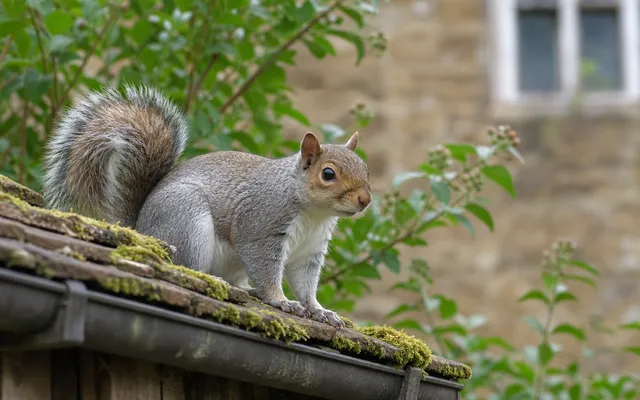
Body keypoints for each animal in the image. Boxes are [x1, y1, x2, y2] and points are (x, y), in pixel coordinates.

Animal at [42, 85, 372, 328]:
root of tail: (141, 228)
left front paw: (318, 309)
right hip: (187, 219)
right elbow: (265, 270)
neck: (314, 214)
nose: (365, 200)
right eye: (328, 174)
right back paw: (212, 279)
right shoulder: (261, 226)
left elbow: (305, 283)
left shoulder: (310, 250)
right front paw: (281, 300)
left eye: (365, 168)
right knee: (185, 265)